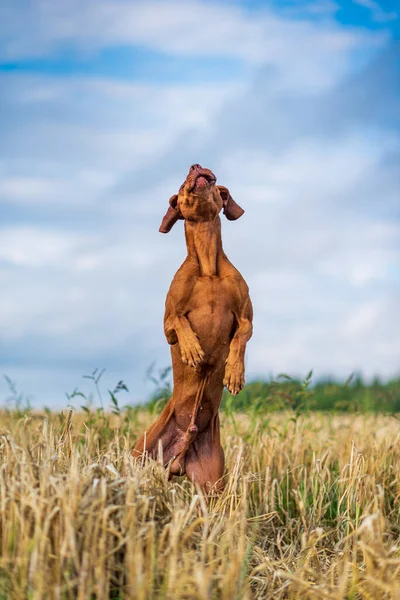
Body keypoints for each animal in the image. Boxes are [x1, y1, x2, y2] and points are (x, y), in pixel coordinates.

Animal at [134, 164, 253, 492]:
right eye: (182, 183)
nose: (196, 165)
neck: (208, 265)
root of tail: (179, 457)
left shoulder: (247, 318)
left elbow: (240, 338)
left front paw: (234, 373)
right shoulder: (168, 324)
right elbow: (179, 322)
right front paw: (192, 351)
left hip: (211, 485)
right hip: (138, 457)